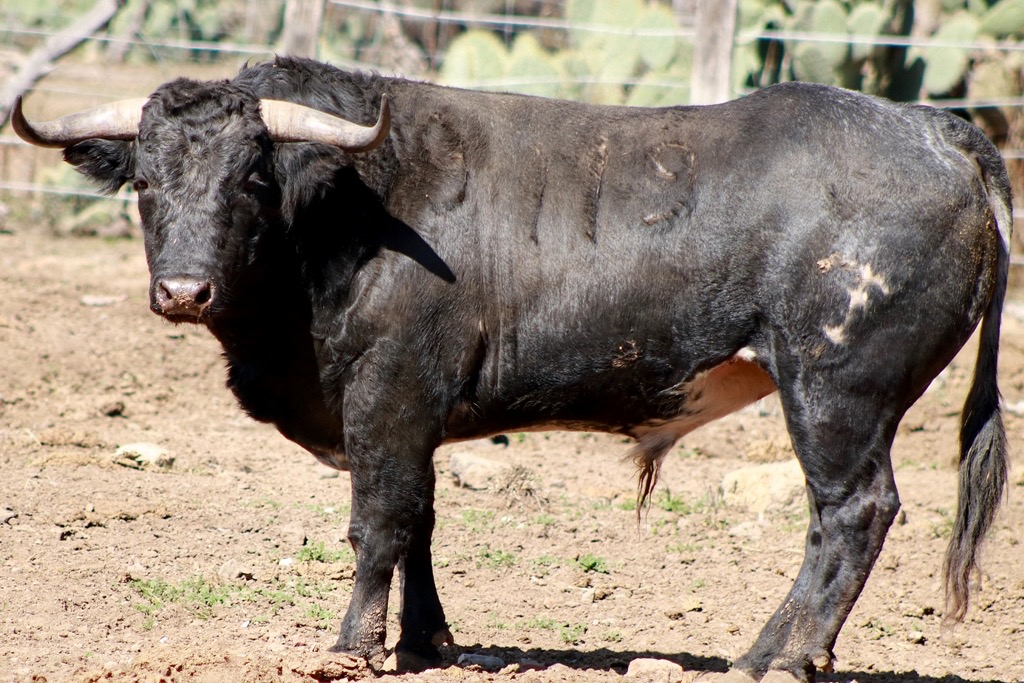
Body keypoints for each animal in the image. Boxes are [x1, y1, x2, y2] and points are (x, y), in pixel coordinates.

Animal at [12, 56, 1011, 679]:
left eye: (250, 178)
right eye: (145, 182)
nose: (183, 289)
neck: (346, 209)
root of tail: (929, 129)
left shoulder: (387, 396)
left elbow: (378, 522)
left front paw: (352, 644)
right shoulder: (413, 415)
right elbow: (420, 521)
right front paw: (427, 642)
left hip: (837, 392)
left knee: (853, 513)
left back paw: (786, 657)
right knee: (831, 523)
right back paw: (766, 651)